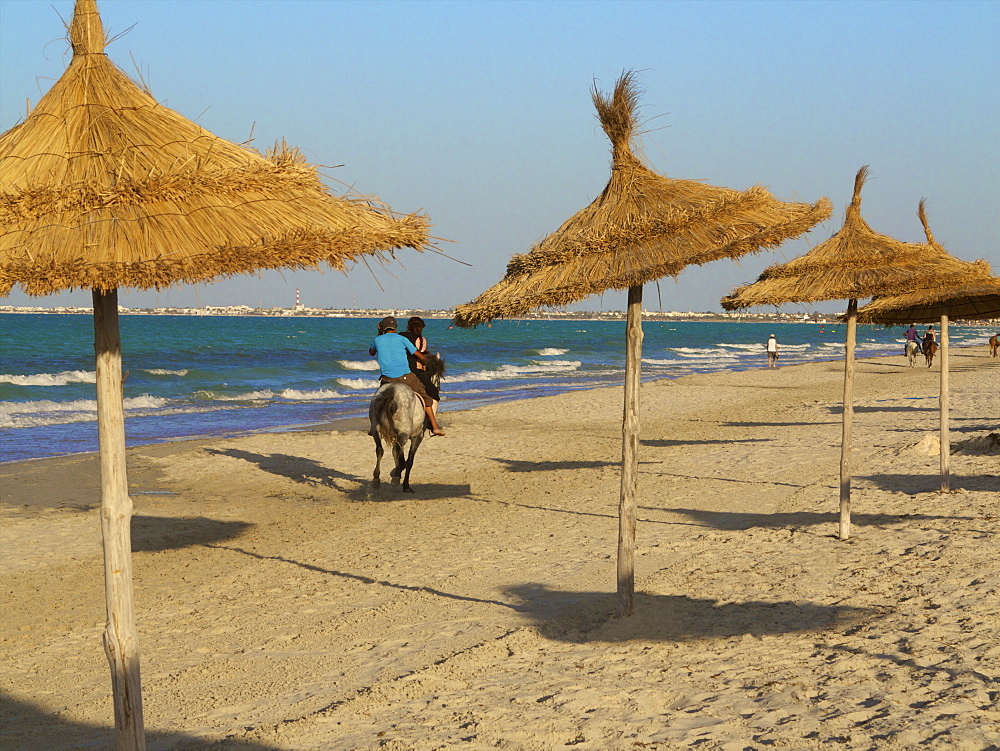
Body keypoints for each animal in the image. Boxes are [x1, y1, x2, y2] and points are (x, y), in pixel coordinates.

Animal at [370, 354, 444, 494]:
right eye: (437, 377)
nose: (437, 389)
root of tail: (391, 392)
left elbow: (398, 455)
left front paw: (396, 472)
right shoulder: (417, 436)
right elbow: (409, 460)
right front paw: (403, 482)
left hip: (376, 429)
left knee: (380, 449)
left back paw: (376, 479)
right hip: (403, 434)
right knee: (398, 450)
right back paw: (396, 478)